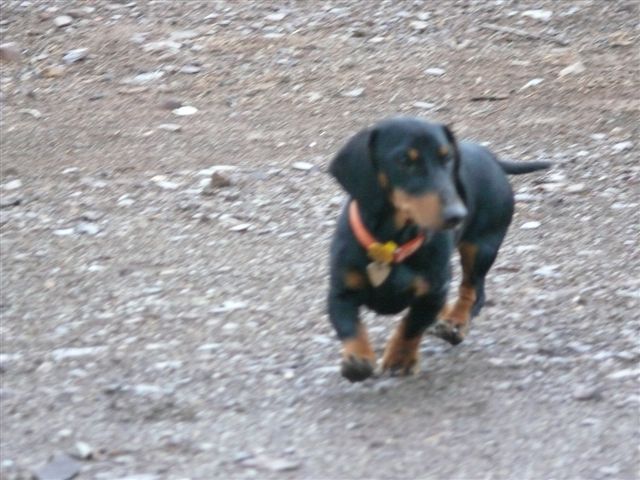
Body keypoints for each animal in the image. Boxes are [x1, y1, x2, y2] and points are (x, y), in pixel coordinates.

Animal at [327, 117, 550, 382]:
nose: (457, 215)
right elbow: (350, 327)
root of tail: (490, 156)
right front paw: (357, 359)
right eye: (405, 160)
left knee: (472, 291)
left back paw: (454, 323)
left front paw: (400, 359)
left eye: (447, 158)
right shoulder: (340, 292)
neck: (391, 245)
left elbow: (412, 326)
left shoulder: (432, 293)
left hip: (481, 247)